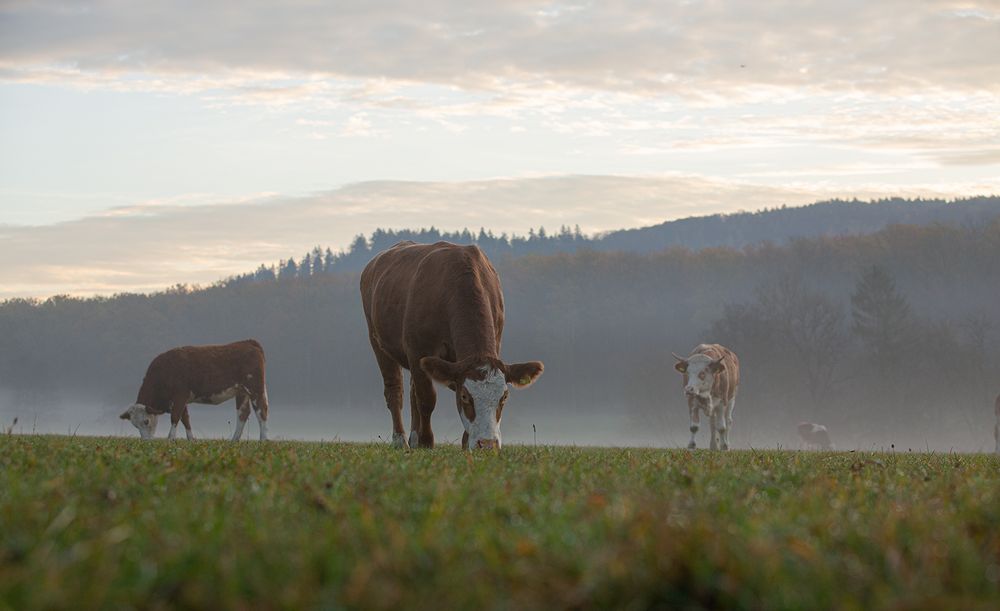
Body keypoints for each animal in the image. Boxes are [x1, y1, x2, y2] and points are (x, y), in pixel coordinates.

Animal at [120, 342, 270, 442]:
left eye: (146, 421)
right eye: (134, 425)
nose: (146, 442)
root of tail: (248, 342)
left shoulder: (180, 396)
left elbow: (175, 417)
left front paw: (170, 439)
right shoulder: (182, 400)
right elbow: (185, 419)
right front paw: (191, 440)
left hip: (255, 388)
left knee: (261, 410)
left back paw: (263, 440)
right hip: (241, 392)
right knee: (243, 413)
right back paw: (234, 440)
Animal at [362, 243, 548, 450]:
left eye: (504, 397)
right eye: (465, 396)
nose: (487, 444)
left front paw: (465, 442)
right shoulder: (419, 349)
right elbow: (426, 398)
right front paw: (426, 441)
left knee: (411, 392)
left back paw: (413, 438)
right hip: (378, 342)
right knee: (395, 391)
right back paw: (400, 440)